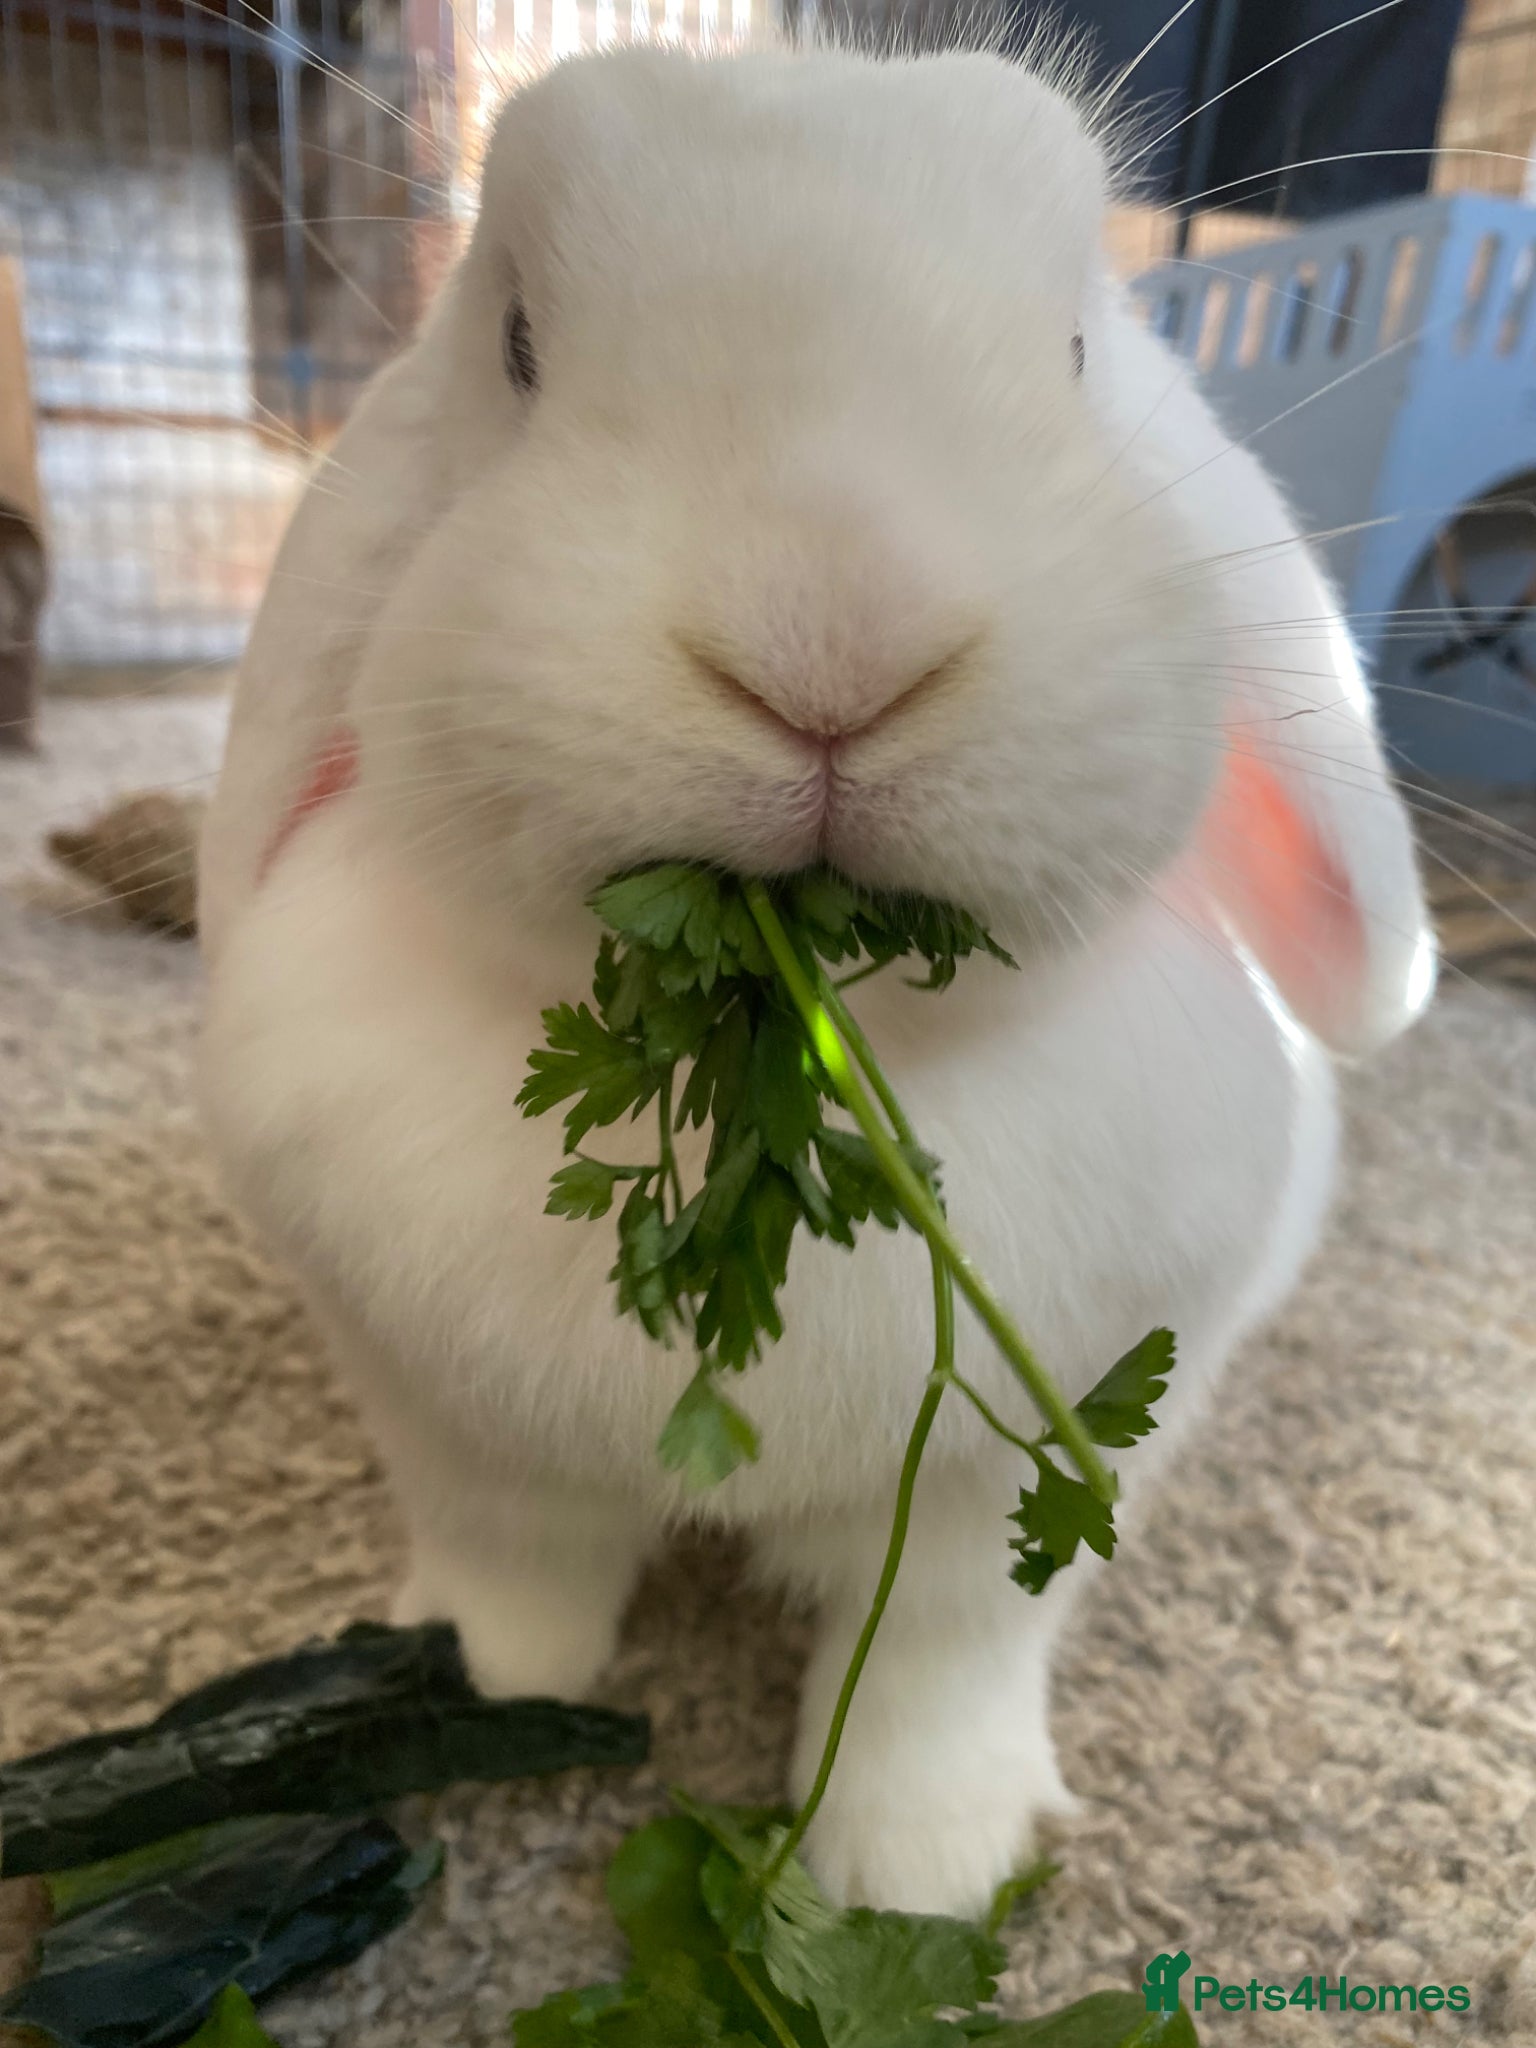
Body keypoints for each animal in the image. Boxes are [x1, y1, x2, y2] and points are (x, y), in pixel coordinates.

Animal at [196, 38, 1435, 1920]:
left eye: (1081, 352)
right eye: (517, 345)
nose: (833, 636)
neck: (816, 1094)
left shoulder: (1015, 1480)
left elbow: (938, 1656)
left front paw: (914, 1878)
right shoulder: (447, 1428)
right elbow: (508, 1578)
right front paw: (470, 1694)